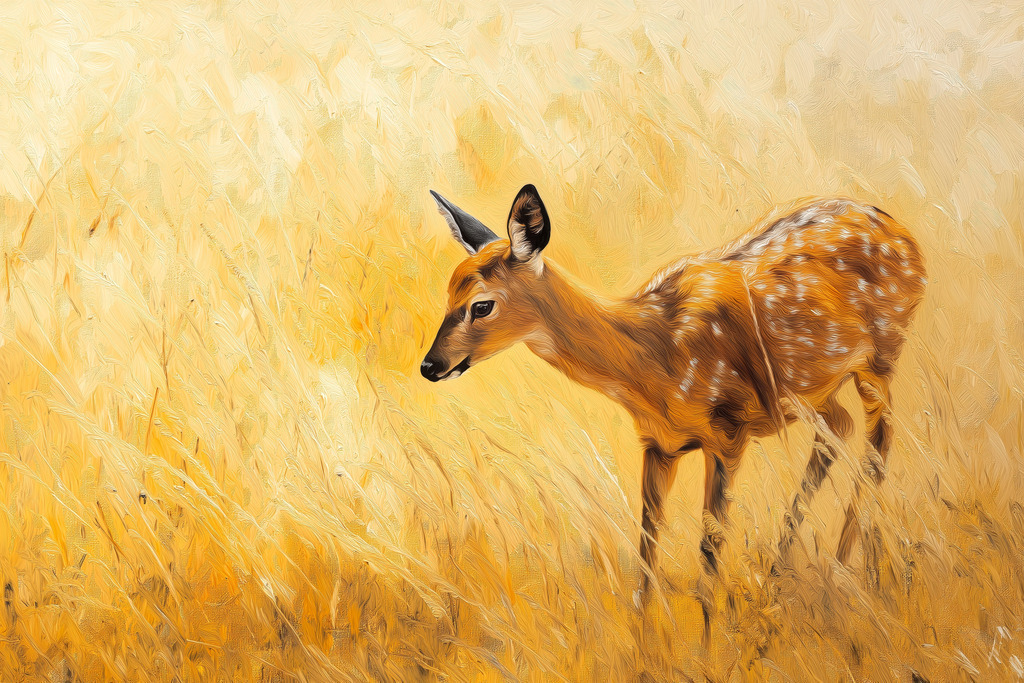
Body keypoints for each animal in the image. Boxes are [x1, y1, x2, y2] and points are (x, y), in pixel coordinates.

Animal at [421, 184, 926, 635]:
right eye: (446, 295)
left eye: (481, 305)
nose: (429, 365)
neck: (654, 356)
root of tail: (903, 232)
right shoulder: (658, 443)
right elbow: (647, 547)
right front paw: (643, 637)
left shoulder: (729, 432)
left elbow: (709, 548)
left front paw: (710, 642)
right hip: (812, 388)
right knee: (840, 427)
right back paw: (781, 575)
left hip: (882, 353)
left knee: (879, 442)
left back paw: (842, 576)